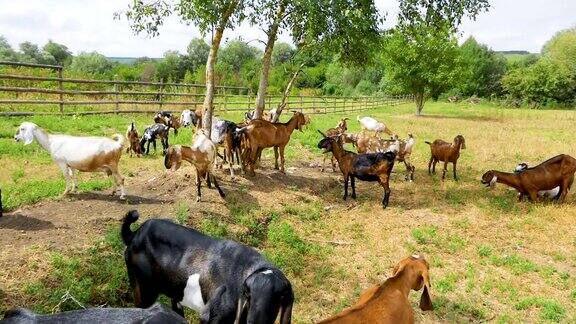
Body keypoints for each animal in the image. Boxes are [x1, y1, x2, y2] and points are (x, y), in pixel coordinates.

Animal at [121, 210, 292, 324]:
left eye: (280, 297)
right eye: (248, 294)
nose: (255, 321)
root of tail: (136, 233)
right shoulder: (212, 316)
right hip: (143, 290)